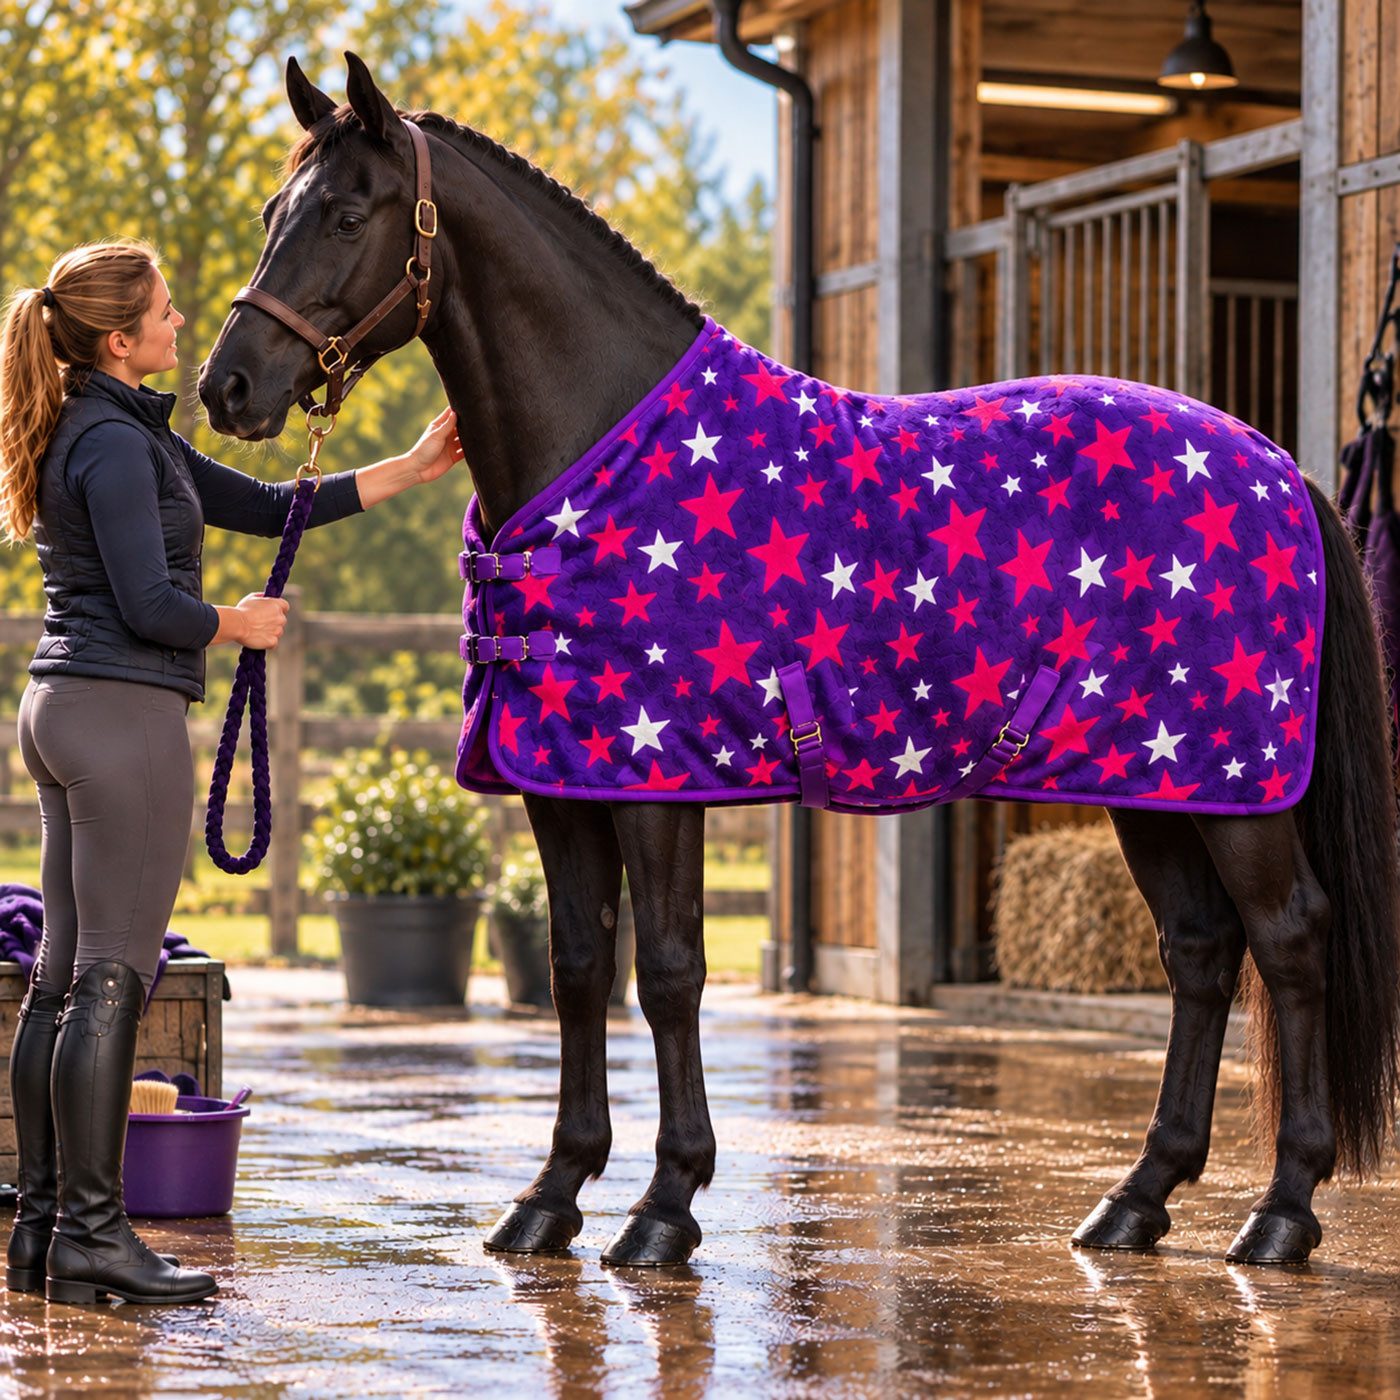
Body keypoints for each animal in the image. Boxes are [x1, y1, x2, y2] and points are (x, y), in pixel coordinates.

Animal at [199, 53, 1400, 1269]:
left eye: (348, 215)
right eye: (270, 214)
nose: (228, 387)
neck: (606, 453)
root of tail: (1278, 468)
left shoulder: (657, 779)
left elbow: (667, 970)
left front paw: (664, 1206)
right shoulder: (559, 779)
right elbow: (579, 966)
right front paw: (549, 1195)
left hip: (1232, 787)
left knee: (1289, 940)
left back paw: (1280, 1212)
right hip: (1150, 779)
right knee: (1199, 950)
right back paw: (1135, 1199)